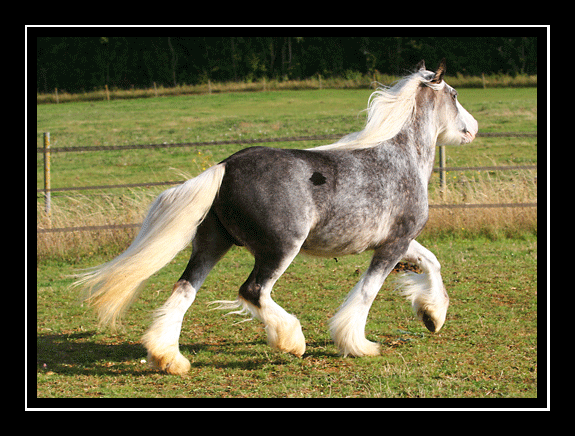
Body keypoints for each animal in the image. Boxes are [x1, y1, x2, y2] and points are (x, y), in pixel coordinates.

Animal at [77, 58, 482, 374]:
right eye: (455, 95)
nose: (473, 129)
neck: (400, 157)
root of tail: (226, 166)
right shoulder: (392, 245)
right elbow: (367, 293)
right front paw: (358, 344)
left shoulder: (399, 240)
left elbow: (432, 262)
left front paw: (433, 316)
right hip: (281, 247)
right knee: (253, 291)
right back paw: (291, 340)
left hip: (211, 245)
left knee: (184, 288)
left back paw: (169, 359)